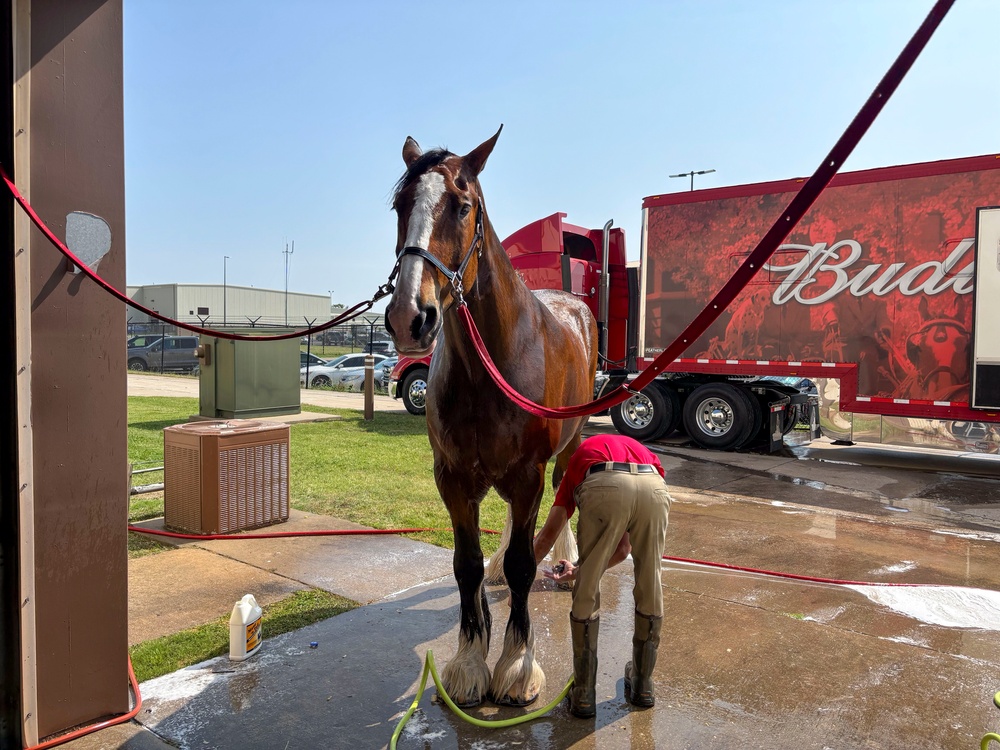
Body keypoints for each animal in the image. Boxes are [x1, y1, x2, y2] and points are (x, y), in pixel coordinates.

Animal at [386, 126, 596, 708]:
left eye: (462, 207)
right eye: (399, 205)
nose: (410, 317)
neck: (491, 366)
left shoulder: (527, 475)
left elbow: (526, 566)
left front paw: (517, 667)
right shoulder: (454, 478)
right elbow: (467, 567)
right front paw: (469, 660)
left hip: (570, 443)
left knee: (565, 492)